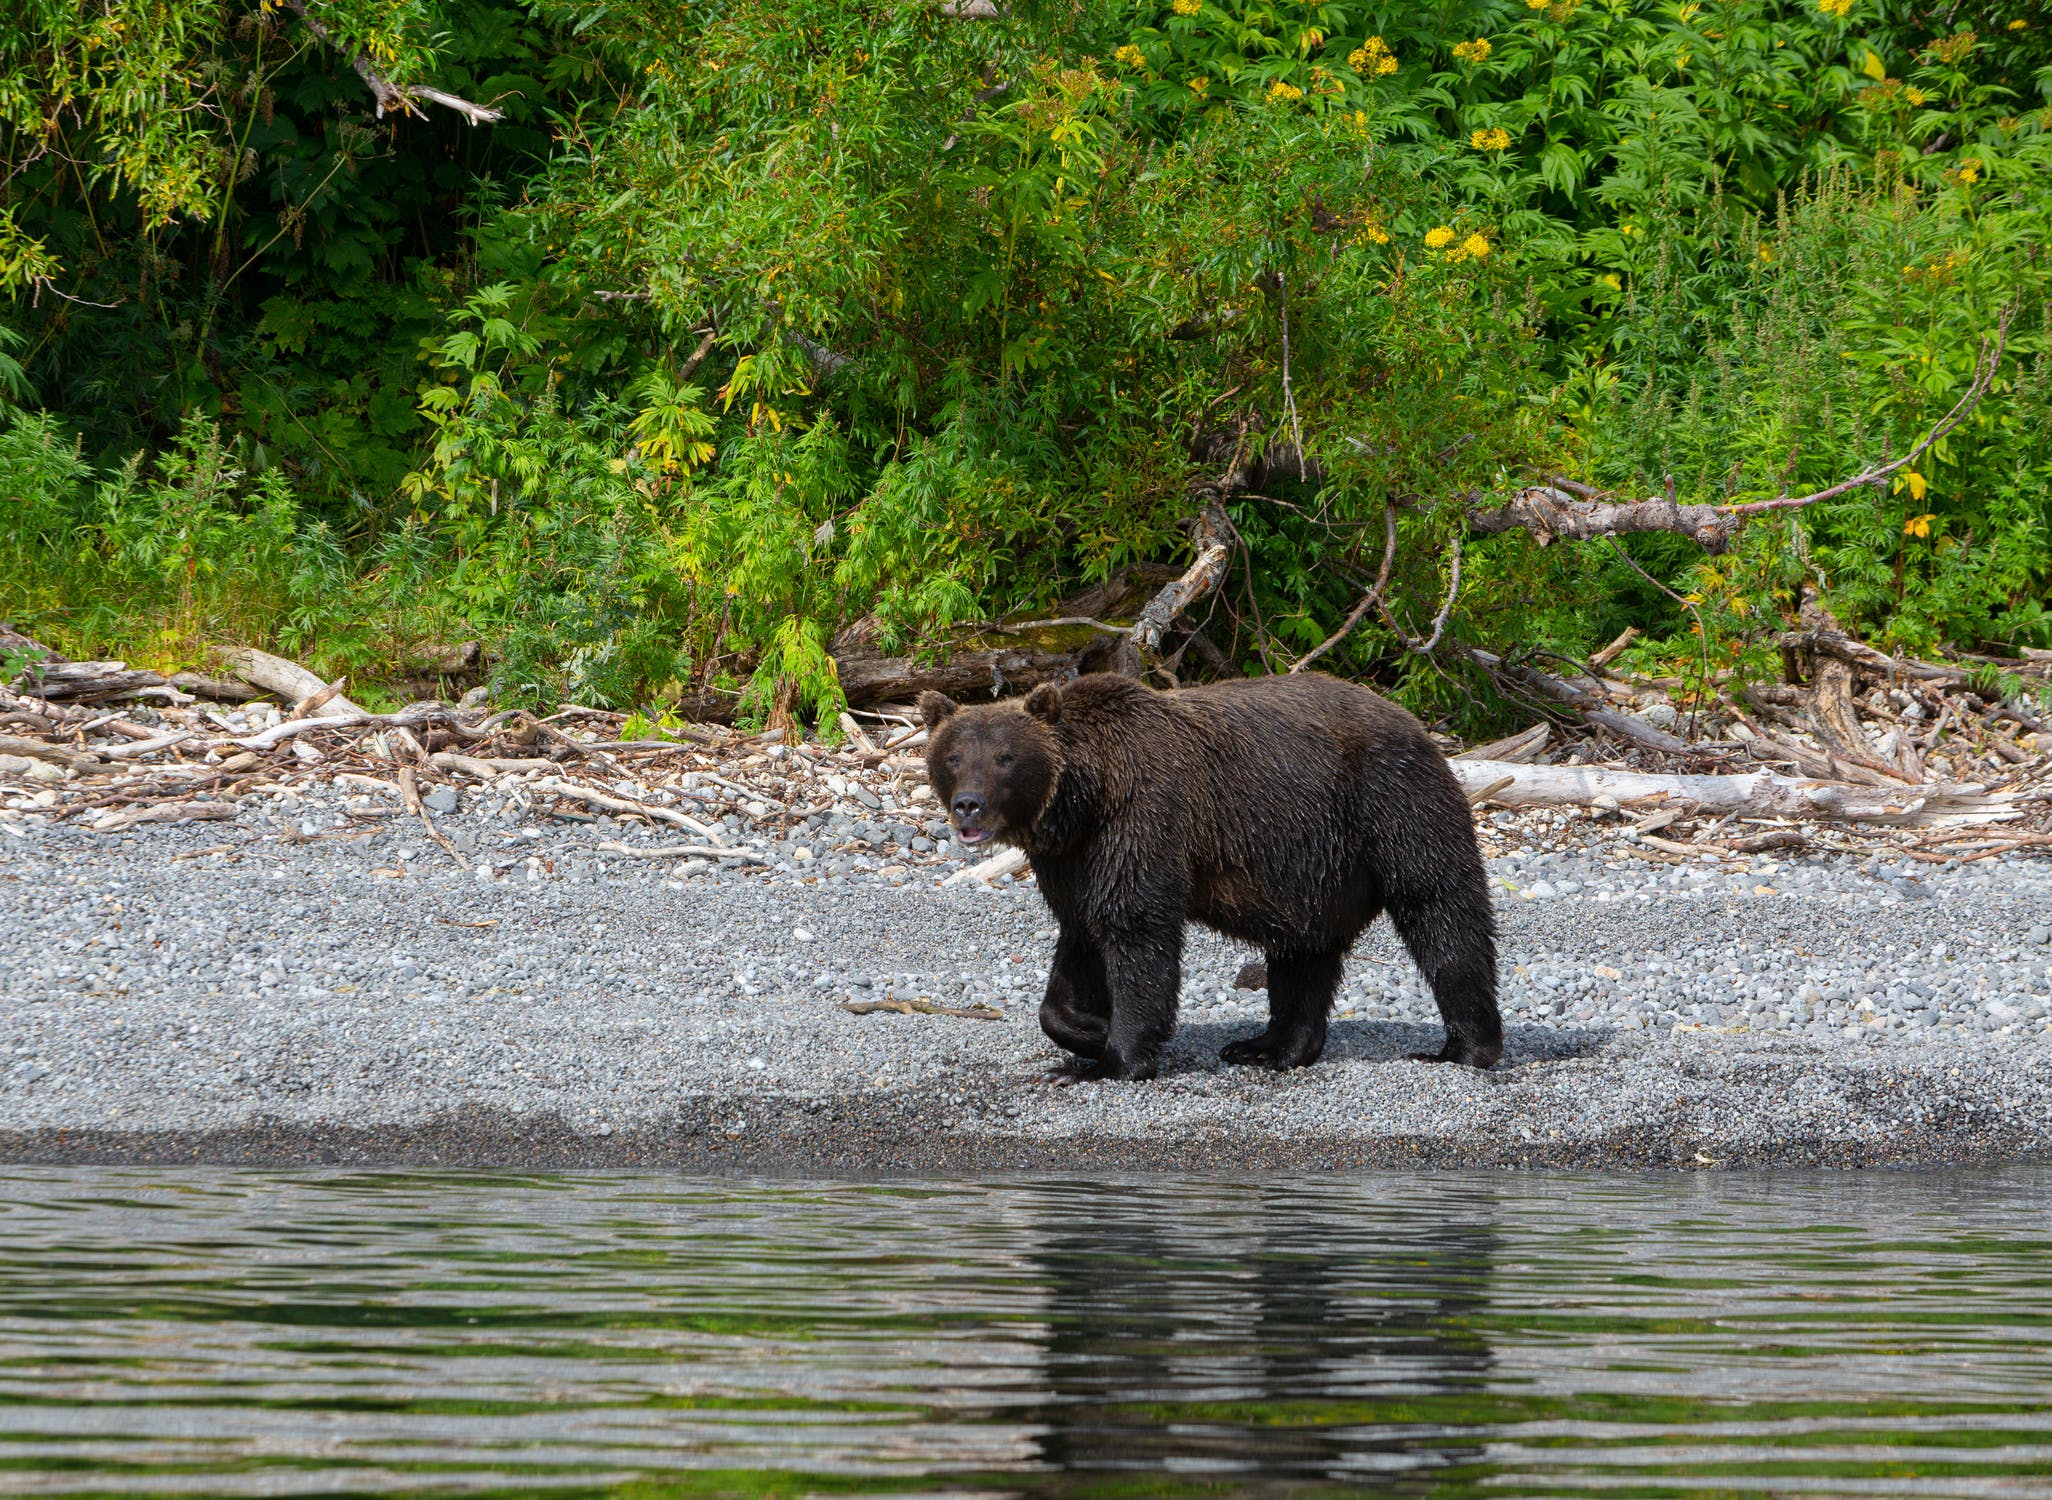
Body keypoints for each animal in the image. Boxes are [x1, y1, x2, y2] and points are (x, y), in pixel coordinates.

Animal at [920, 671, 1501, 1081]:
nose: (969, 805)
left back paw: (1464, 1047)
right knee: (1303, 951)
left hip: (1393, 803)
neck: (1084, 801)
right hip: (1312, 864)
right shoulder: (1073, 860)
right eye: (954, 755)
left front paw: (1112, 1059)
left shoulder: (1143, 817)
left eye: (1005, 757)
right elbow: (1081, 939)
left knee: (1441, 911)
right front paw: (1087, 1031)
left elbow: (1136, 930)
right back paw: (1268, 1048)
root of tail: (1419, 725)